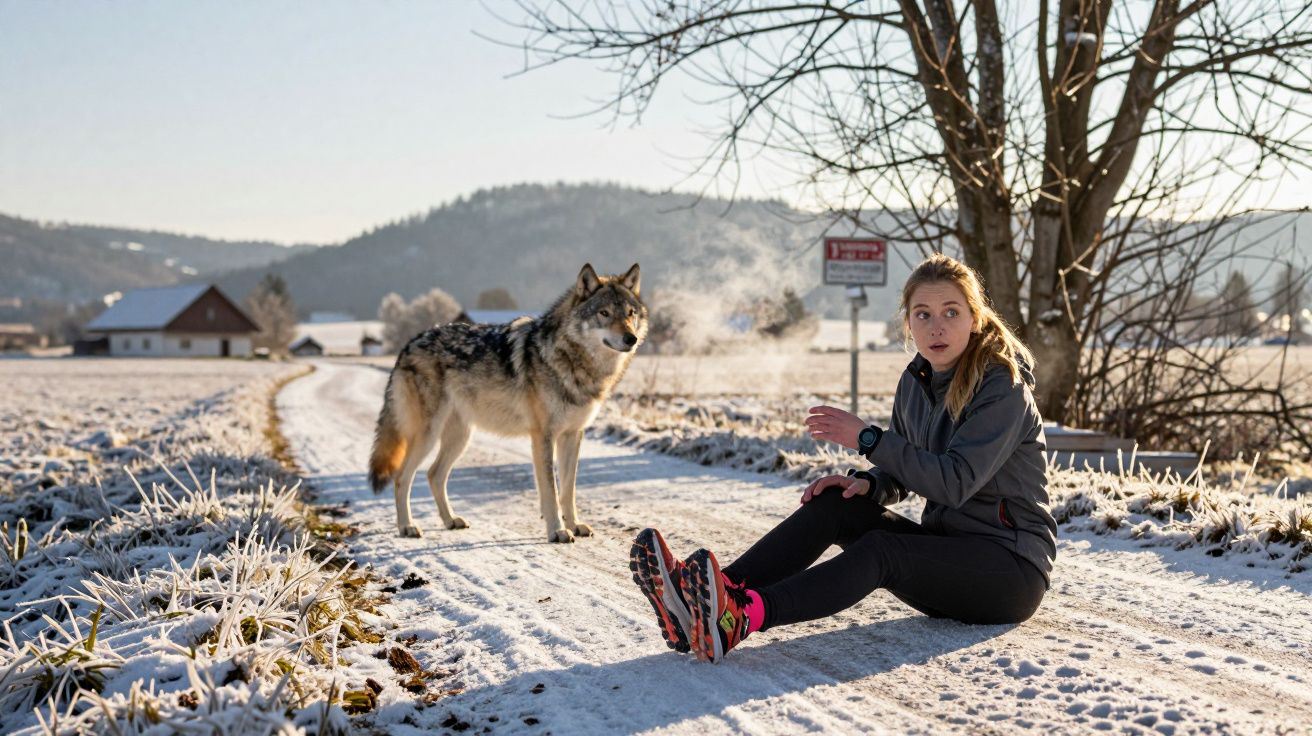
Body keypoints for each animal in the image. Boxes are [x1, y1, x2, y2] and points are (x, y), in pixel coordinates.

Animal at [368, 263, 647, 543]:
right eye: (604, 313)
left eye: (630, 313)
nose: (631, 338)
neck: (572, 361)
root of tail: (408, 344)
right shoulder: (543, 436)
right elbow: (550, 490)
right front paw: (557, 530)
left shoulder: (572, 435)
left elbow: (568, 490)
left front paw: (575, 525)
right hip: (428, 435)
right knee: (402, 477)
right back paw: (407, 526)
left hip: (460, 438)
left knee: (434, 475)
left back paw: (451, 520)